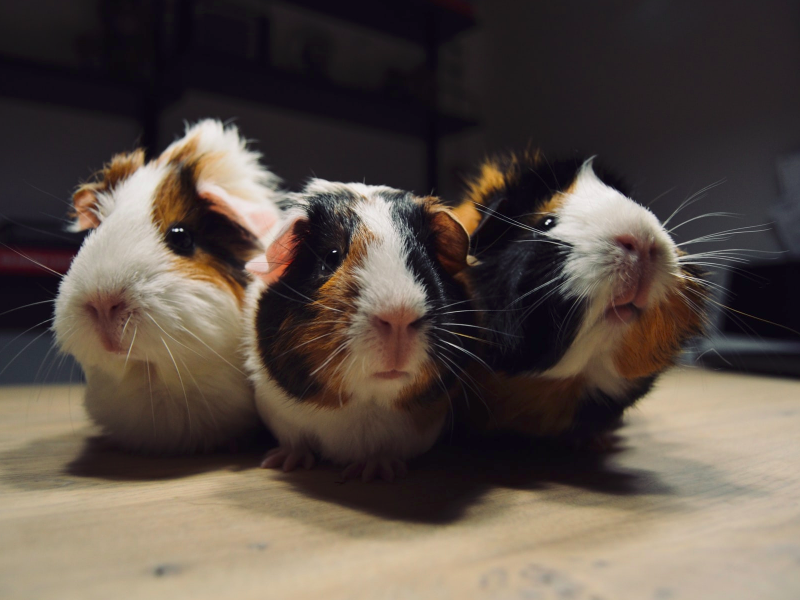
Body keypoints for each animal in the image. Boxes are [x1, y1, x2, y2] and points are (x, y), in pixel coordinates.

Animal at [243, 180, 474, 481]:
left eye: (426, 259)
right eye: (331, 256)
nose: (398, 314)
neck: (365, 405)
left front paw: (375, 472)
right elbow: (296, 441)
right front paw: (283, 463)